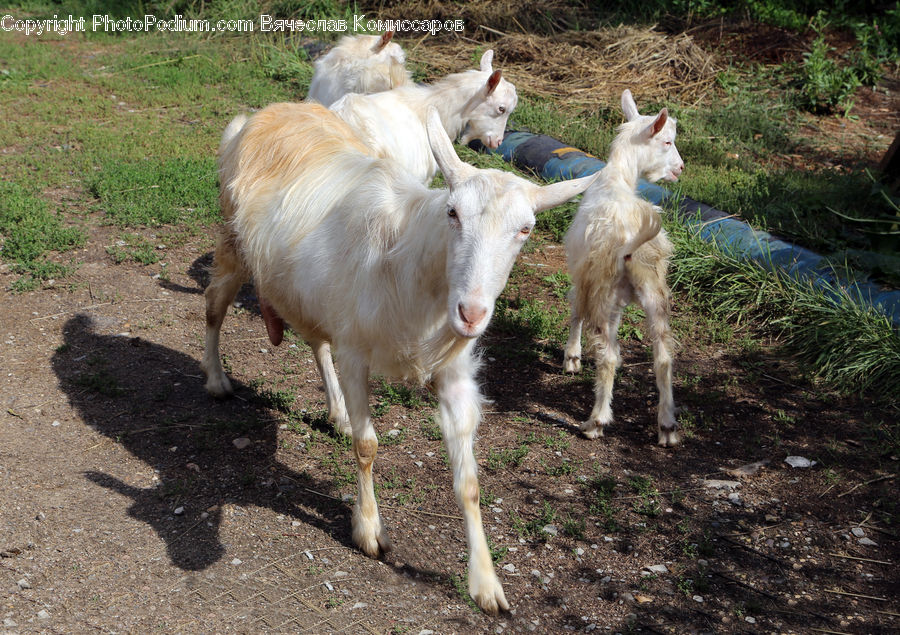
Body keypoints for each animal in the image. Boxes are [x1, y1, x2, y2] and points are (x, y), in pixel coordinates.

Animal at [204, 102, 596, 612]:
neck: (413, 266)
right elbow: (368, 446)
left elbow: (469, 481)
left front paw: (486, 583)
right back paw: (216, 379)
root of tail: (264, 113)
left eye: (526, 229)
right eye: (452, 213)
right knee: (214, 307)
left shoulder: (454, 372)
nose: (471, 313)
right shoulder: (356, 352)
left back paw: (336, 413)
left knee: (316, 342)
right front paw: (369, 531)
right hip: (234, 245)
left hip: (309, 291)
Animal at [568, 89, 684, 448]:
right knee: (663, 356)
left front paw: (571, 358)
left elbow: (575, 311)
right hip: (655, 294)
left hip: (604, 291)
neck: (616, 179)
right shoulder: (615, 298)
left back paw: (595, 421)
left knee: (609, 356)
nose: (680, 168)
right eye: (667, 142)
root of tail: (633, 244)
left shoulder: (583, 275)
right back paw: (667, 426)